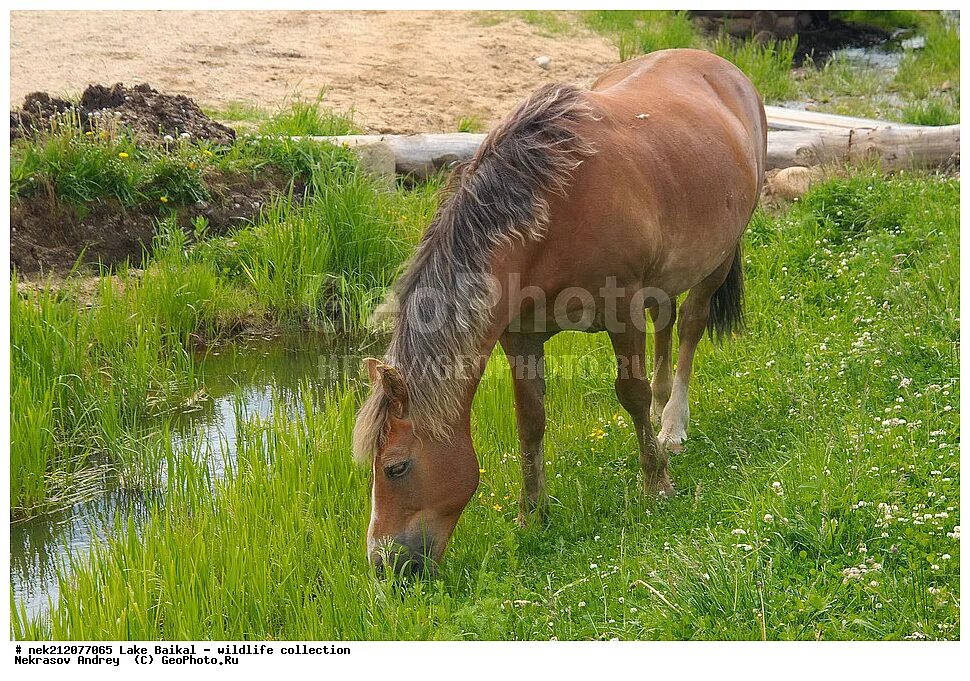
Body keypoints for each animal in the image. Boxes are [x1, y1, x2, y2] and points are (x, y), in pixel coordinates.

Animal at [352, 49, 768, 572]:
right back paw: (662, 411)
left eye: (396, 467)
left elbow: (630, 394)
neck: (552, 211)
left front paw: (656, 483)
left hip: (718, 257)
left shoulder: (621, 310)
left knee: (690, 326)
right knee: (667, 324)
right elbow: (530, 420)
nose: (384, 565)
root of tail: (725, 69)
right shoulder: (520, 337)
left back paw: (673, 425)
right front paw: (533, 513)